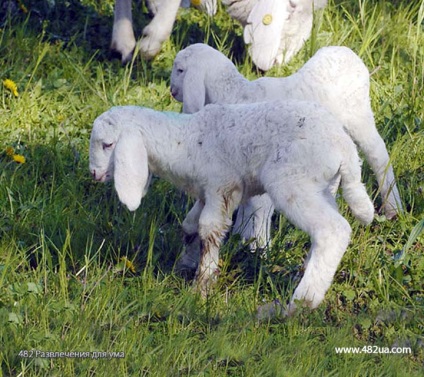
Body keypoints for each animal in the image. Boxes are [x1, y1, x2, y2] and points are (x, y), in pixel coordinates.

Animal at [88, 101, 372, 312]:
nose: (93, 174)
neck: (185, 142)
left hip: (293, 182)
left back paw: (304, 301)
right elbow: (190, 226)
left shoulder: (222, 186)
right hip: (323, 188)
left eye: (107, 145)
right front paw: (185, 265)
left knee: (333, 230)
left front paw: (201, 288)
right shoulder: (205, 192)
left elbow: (209, 229)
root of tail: (346, 150)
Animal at [171, 43, 402, 256]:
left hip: (359, 115)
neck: (235, 93)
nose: (172, 91)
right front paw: (240, 238)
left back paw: (393, 207)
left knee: (378, 155)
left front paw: (259, 249)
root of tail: (343, 50)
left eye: (180, 70)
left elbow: (260, 208)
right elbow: (246, 204)